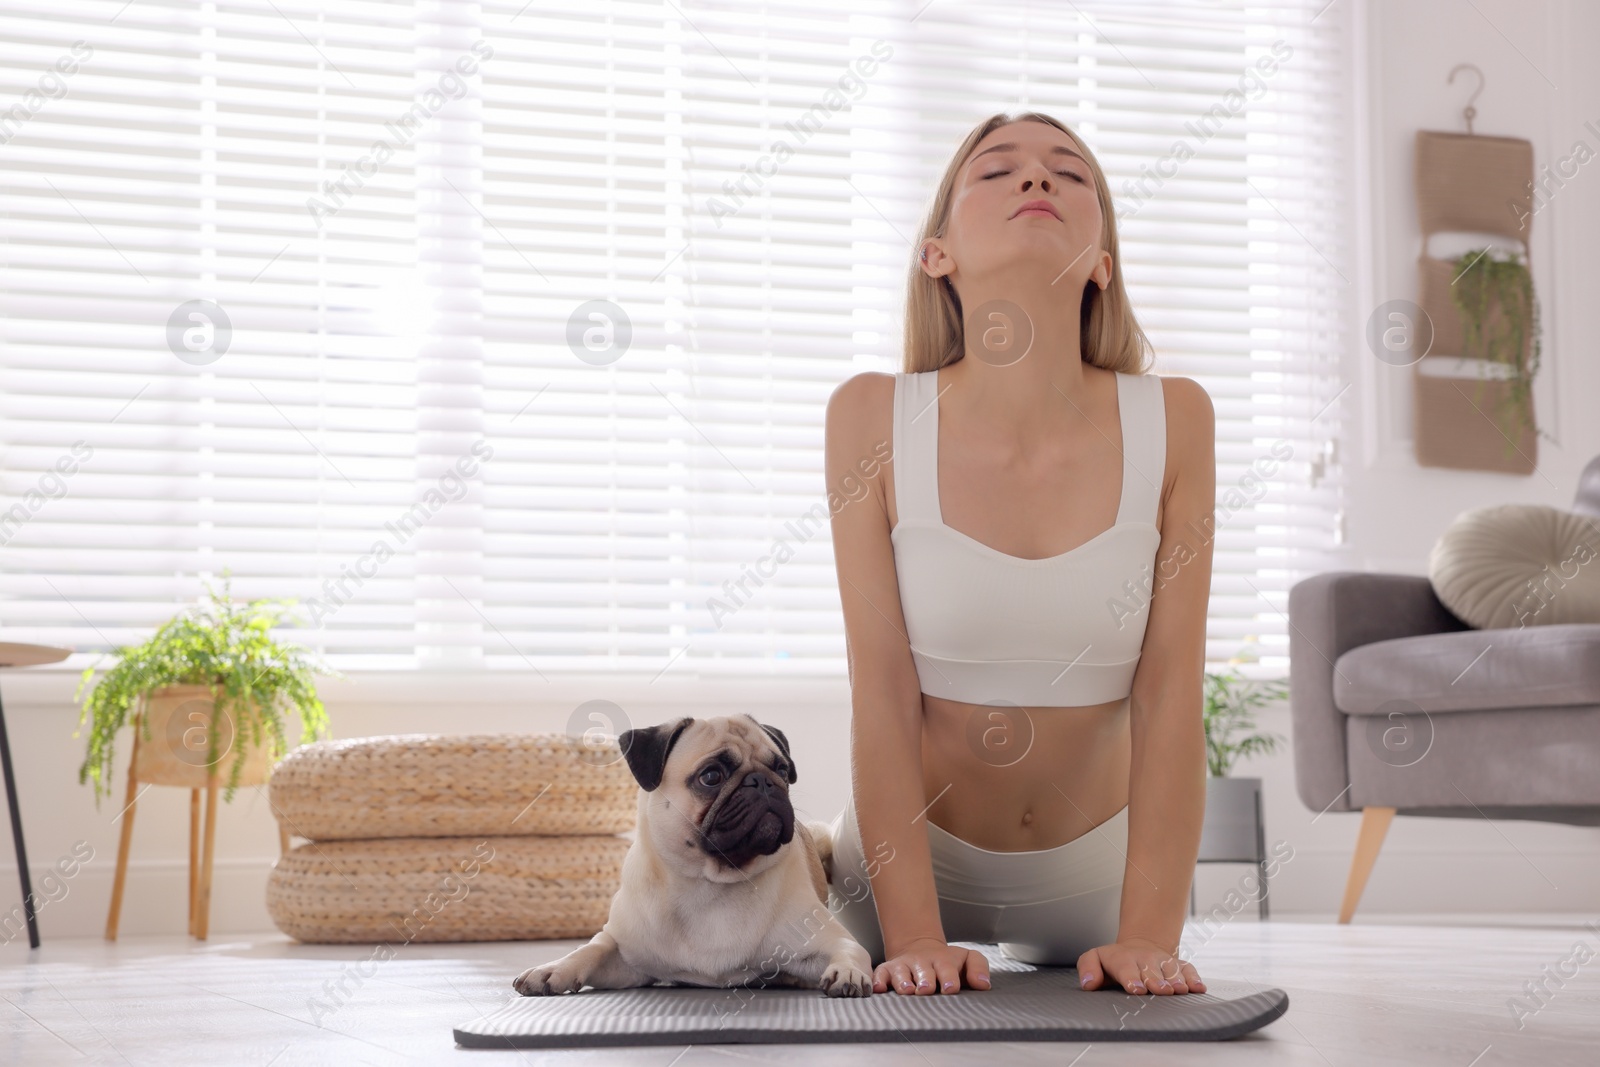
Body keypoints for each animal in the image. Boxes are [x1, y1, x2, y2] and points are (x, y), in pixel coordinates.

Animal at [512, 713, 870, 998]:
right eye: (711, 776)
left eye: (782, 769)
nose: (763, 782)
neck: (711, 882)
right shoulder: (624, 952)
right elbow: (590, 949)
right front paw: (553, 970)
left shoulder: (827, 940)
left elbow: (851, 949)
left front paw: (848, 972)